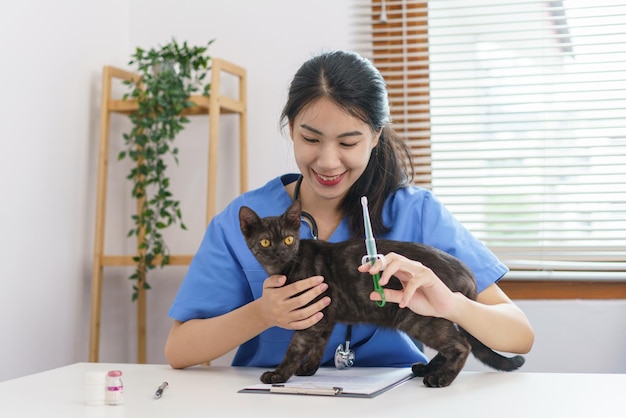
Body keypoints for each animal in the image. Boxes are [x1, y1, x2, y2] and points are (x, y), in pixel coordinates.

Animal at [239, 201, 520, 386]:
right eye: (265, 242)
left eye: (288, 240)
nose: (279, 252)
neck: (287, 266)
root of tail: (467, 271)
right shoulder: (325, 316)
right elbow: (319, 345)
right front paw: (308, 368)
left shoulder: (314, 314)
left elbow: (296, 346)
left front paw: (279, 374)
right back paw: (427, 369)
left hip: (419, 318)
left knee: (461, 344)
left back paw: (440, 378)